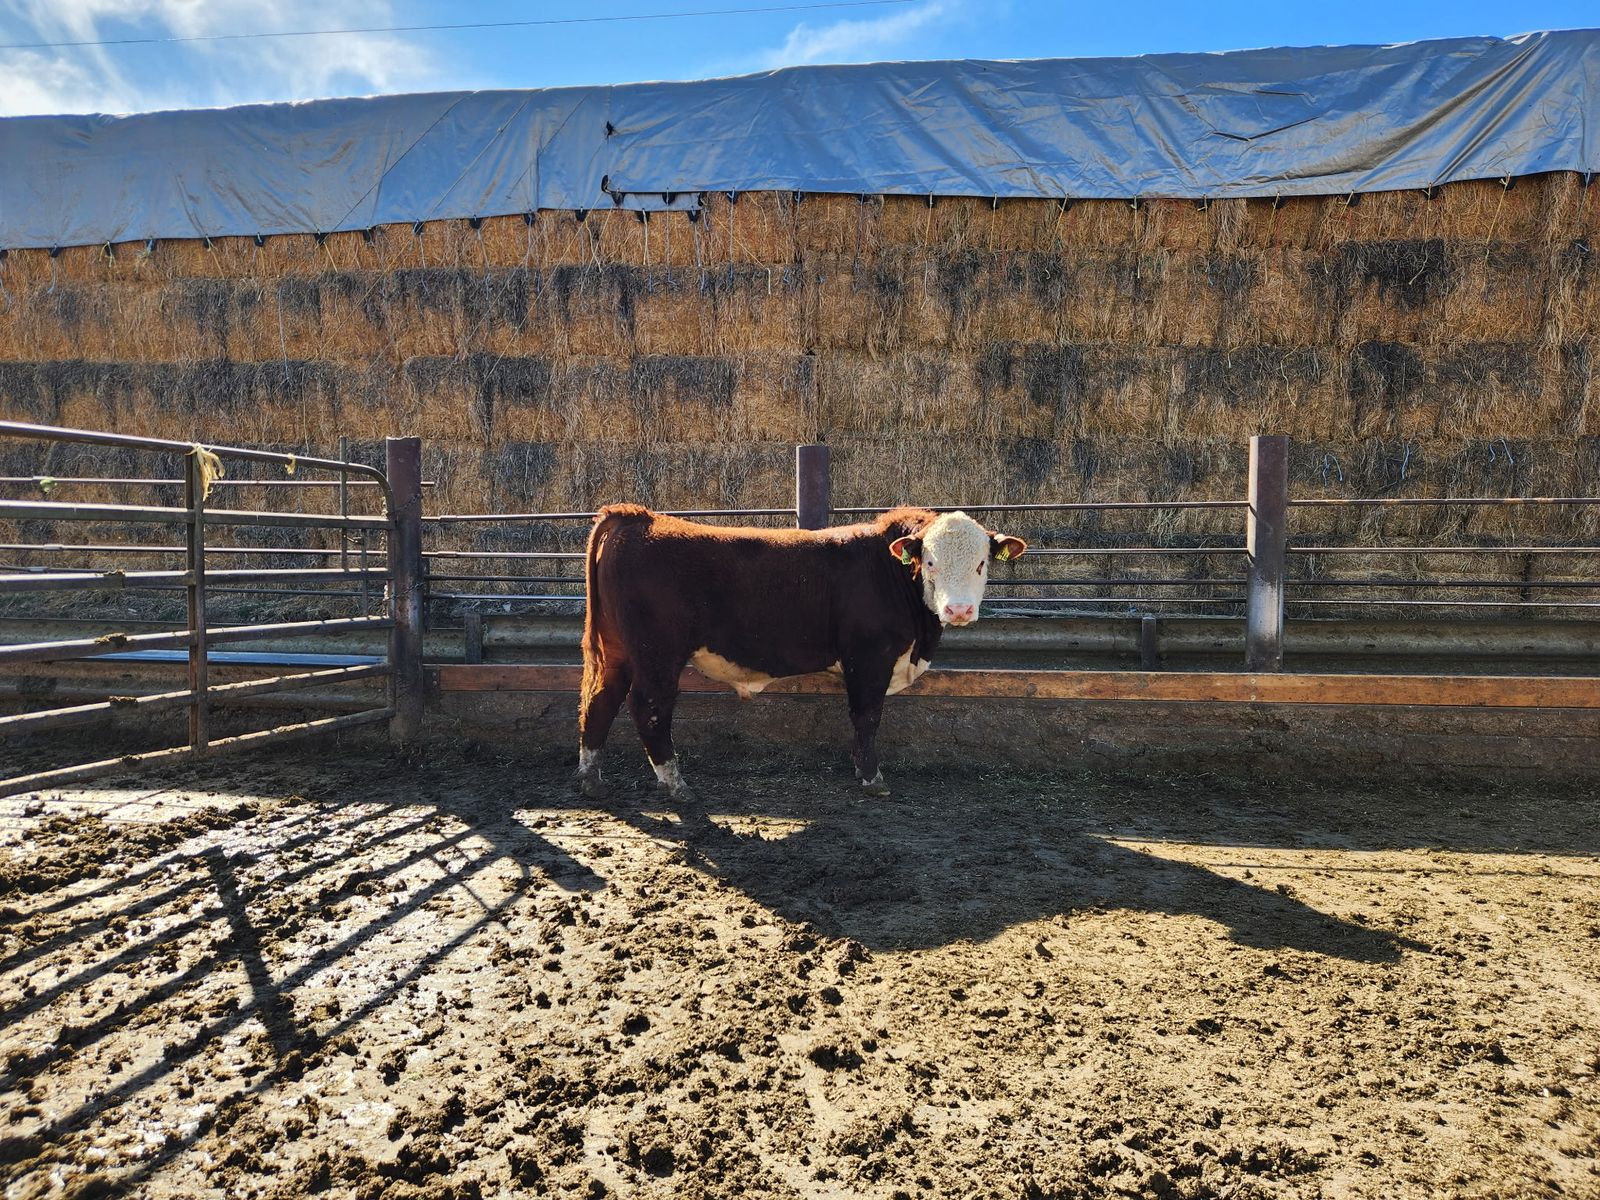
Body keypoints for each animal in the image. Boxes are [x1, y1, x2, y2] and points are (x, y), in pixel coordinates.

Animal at [576, 504, 1027, 801]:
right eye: (930, 562)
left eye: (982, 563)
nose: (959, 610)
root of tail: (637, 516)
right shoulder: (869, 656)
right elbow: (867, 717)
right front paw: (871, 777)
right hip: (658, 654)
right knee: (648, 707)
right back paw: (675, 783)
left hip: (618, 651)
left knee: (600, 700)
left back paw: (591, 777)